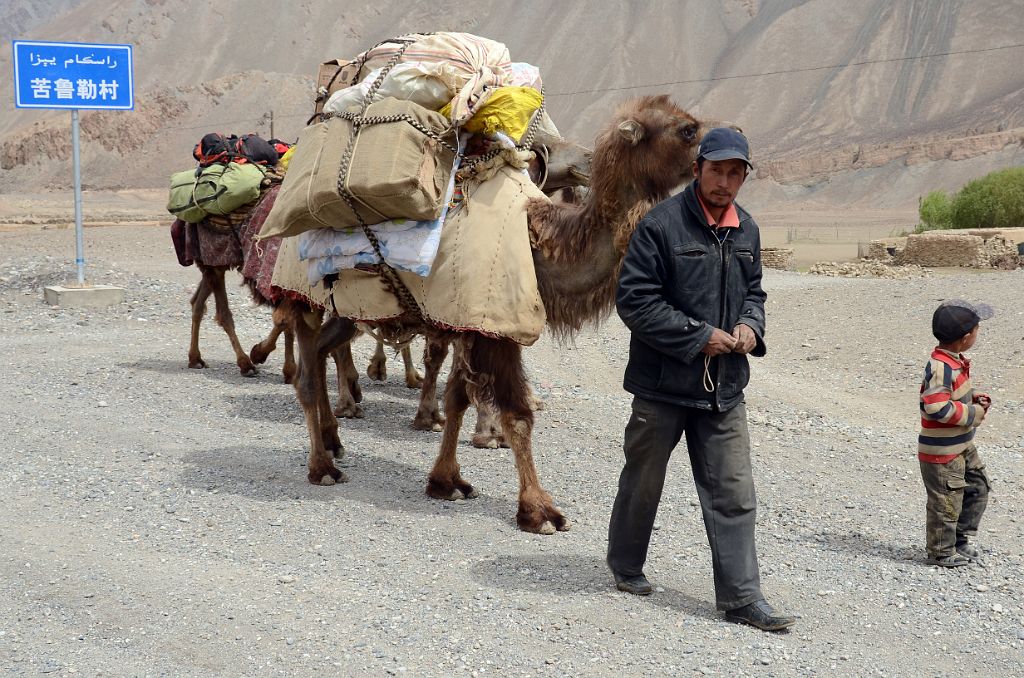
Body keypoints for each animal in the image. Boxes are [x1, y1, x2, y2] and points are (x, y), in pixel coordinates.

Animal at [284, 94, 708, 536]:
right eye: (687, 130)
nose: (588, 160)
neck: (540, 244)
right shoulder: (496, 329)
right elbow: (517, 415)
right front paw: (539, 511)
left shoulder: (471, 323)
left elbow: (457, 398)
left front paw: (446, 481)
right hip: (303, 294)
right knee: (307, 374)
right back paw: (322, 466)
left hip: (348, 310)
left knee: (320, 352)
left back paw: (334, 440)